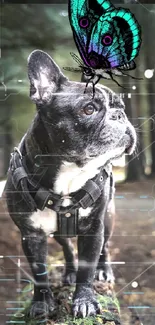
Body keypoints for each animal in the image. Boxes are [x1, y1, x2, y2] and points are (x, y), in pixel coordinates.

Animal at [4, 49, 136, 318]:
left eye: (121, 107)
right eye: (89, 109)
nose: (120, 115)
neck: (70, 173)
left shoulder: (94, 228)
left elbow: (88, 266)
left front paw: (85, 300)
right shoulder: (31, 234)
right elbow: (39, 271)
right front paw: (42, 303)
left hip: (108, 217)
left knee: (105, 247)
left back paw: (104, 270)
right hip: (58, 232)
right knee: (67, 247)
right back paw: (69, 272)